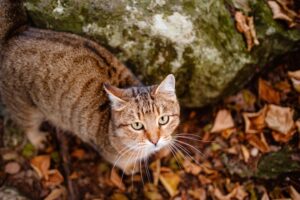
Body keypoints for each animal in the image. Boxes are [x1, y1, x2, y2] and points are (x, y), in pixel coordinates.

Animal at [0, 0, 180, 173]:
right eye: (137, 125)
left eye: (163, 119)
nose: (155, 141)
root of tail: (16, 33)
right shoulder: (110, 153)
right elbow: (121, 162)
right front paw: (130, 166)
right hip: (24, 106)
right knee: (27, 125)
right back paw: (37, 138)